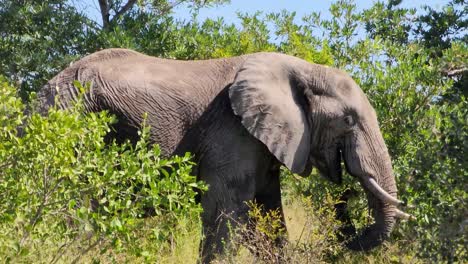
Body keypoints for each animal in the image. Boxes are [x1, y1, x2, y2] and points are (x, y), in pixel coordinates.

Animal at [38, 48, 412, 262]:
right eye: (348, 120)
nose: (347, 192)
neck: (304, 68)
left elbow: (268, 210)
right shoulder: (231, 130)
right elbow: (224, 208)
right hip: (69, 117)